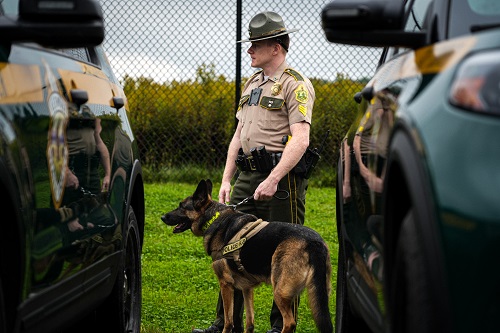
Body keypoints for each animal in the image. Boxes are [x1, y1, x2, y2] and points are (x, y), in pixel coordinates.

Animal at [161, 179, 332, 332]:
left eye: (181, 206)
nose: (162, 217)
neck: (213, 217)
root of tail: (314, 242)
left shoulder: (225, 284)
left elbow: (228, 321)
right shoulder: (246, 288)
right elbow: (250, 322)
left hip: (280, 290)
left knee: (289, 323)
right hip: (318, 294)